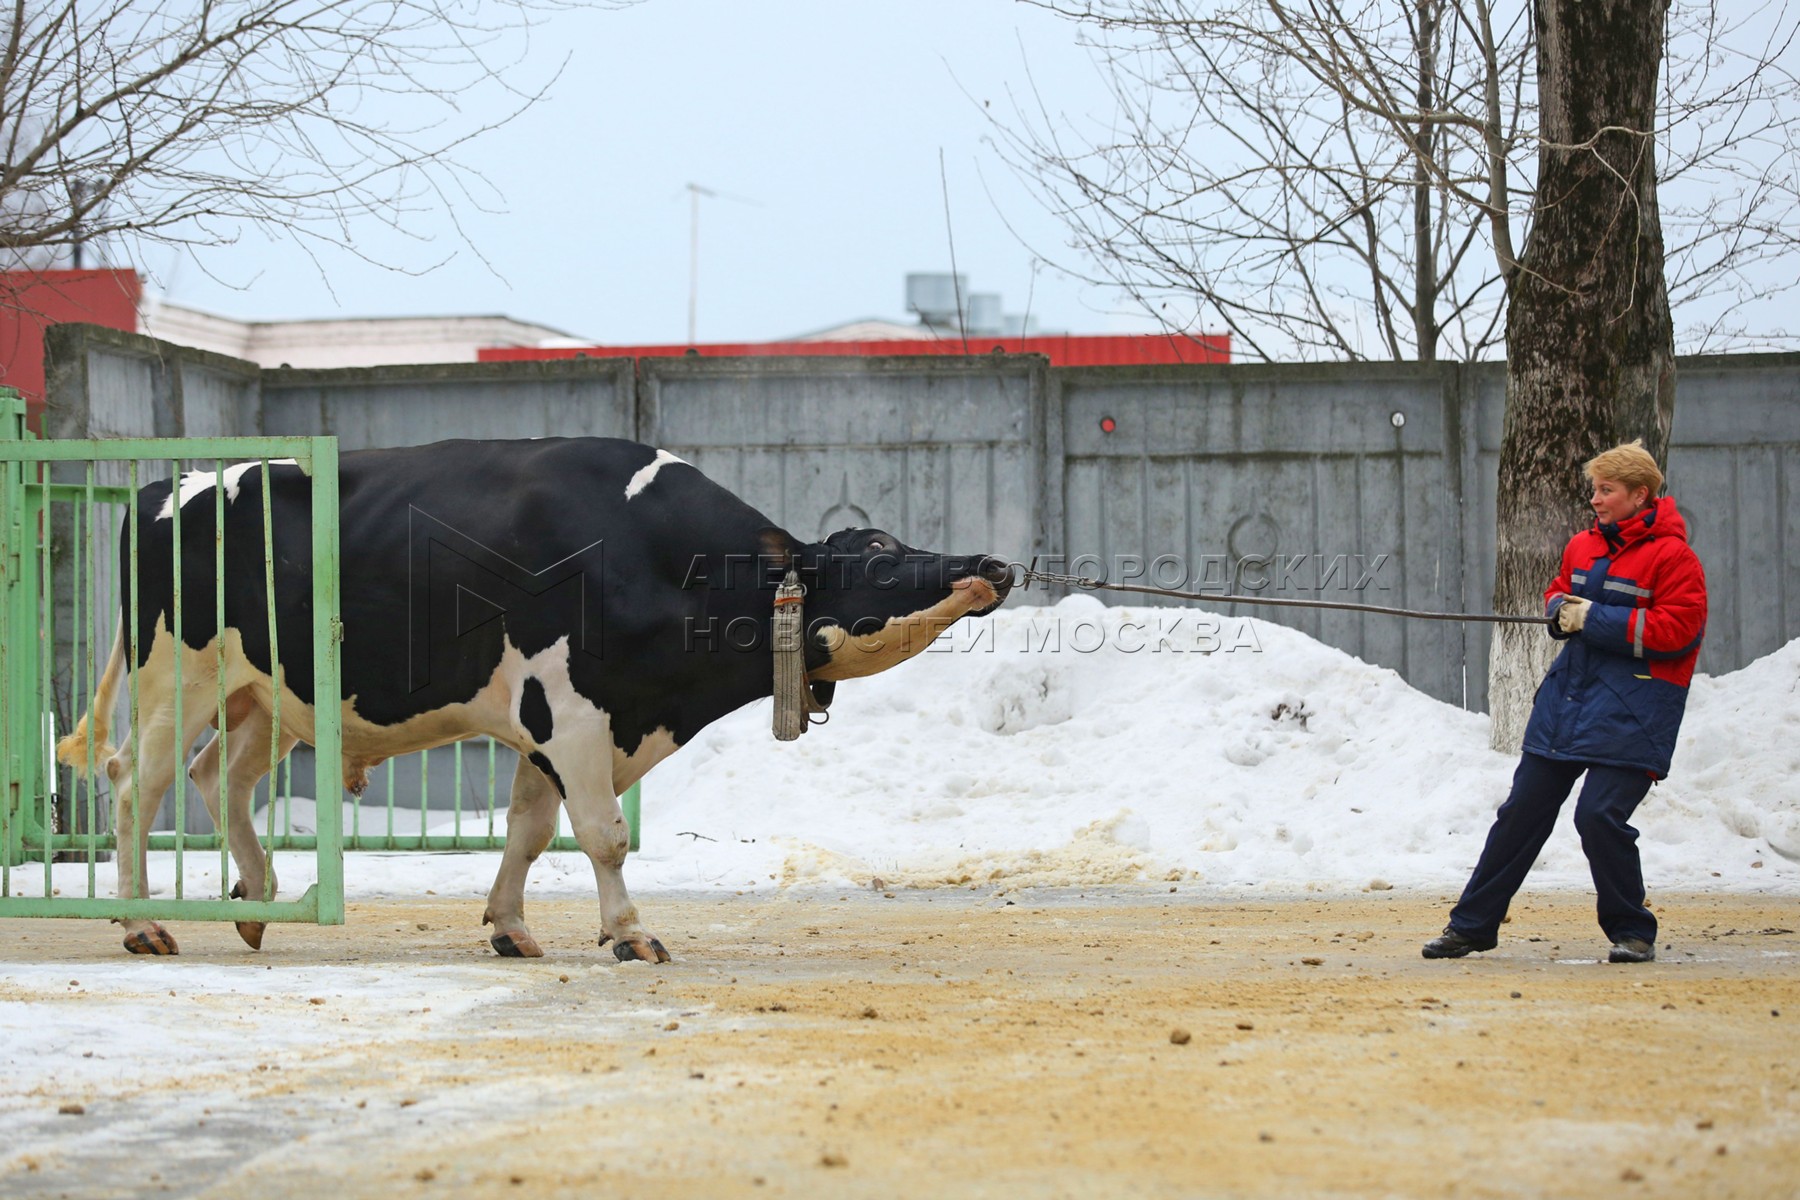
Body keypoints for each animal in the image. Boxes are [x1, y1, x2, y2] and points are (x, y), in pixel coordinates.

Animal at [56, 438, 1015, 957]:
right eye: (880, 548)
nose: (993, 563)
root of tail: (164, 486)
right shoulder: (572, 711)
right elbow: (603, 833)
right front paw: (629, 932)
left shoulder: (551, 723)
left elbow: (528, 828)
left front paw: (510, 927)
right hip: (176, 674)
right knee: (136, 782)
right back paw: (141, 924)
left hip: (267, 693)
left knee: (221, 775)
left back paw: (255, 899)